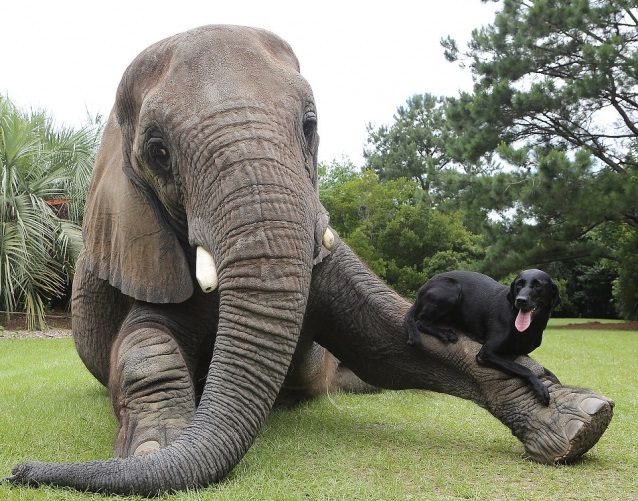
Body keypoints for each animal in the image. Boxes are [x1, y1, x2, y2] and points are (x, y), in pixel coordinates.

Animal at [408, 268, 564, 404]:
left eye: (537, 285)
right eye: (519, 284)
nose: (520, 300)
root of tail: (422, 289)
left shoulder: (522, 353)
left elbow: (544, 369)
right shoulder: (486, 353)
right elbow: (523, 369)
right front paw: (540, 388)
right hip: (452, 289)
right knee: (420, 322)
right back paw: (445, 333)